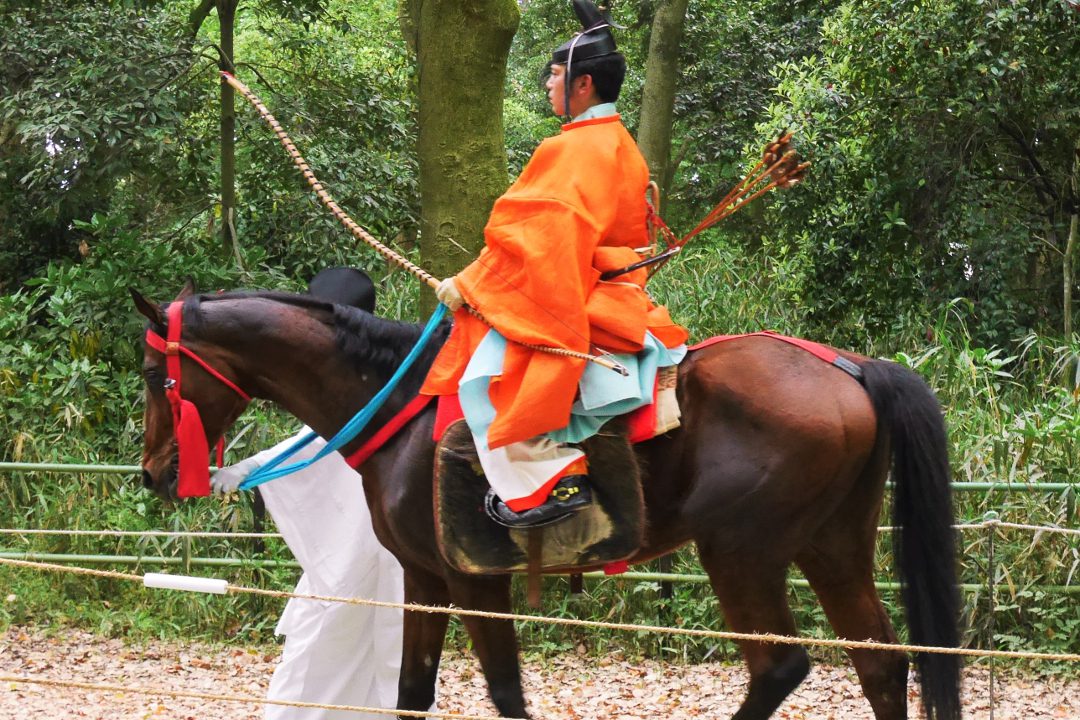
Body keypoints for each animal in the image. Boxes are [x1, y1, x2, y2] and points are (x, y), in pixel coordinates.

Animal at [132, 283, 961, 720]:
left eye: (150, 373)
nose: (152, 471)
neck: (401, 406)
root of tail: (848, 367)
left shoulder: (472, 579)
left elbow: (503, 690)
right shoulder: (425, 581)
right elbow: (412, 692)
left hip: (741, 553)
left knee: (780, 668)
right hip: (833, 546)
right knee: (882, 664)